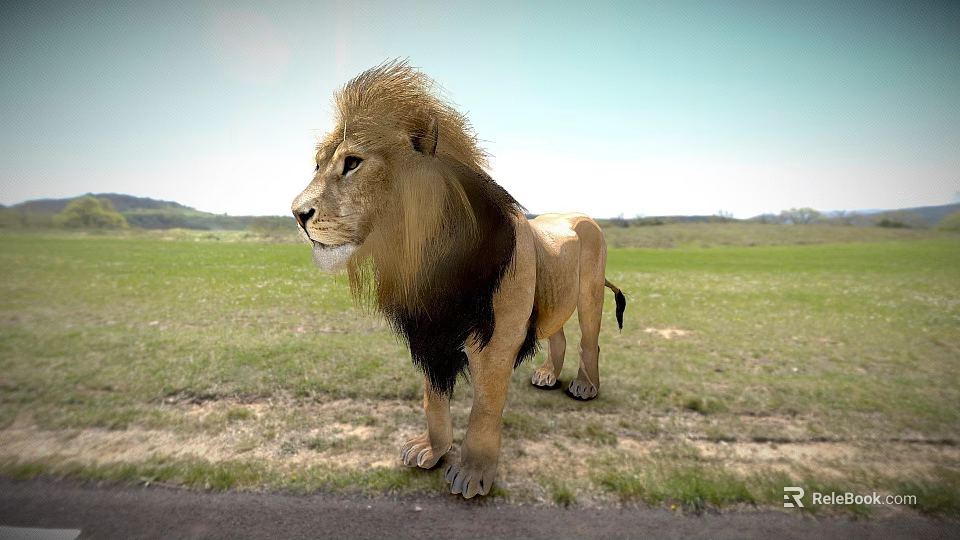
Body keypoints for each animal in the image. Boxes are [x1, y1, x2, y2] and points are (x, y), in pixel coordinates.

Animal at [291, 60, 626, 498]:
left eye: (352, 162)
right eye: (318, 164)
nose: (297, 213)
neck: (426, 259)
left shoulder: (497, 343)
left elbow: (484, 409)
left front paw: (472, 473)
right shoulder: (428, 335)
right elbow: (432, 401)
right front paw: (432, 451)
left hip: (589, 293)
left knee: (589, 340)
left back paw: (585, 386)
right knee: (559, 334)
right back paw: (548, 375)